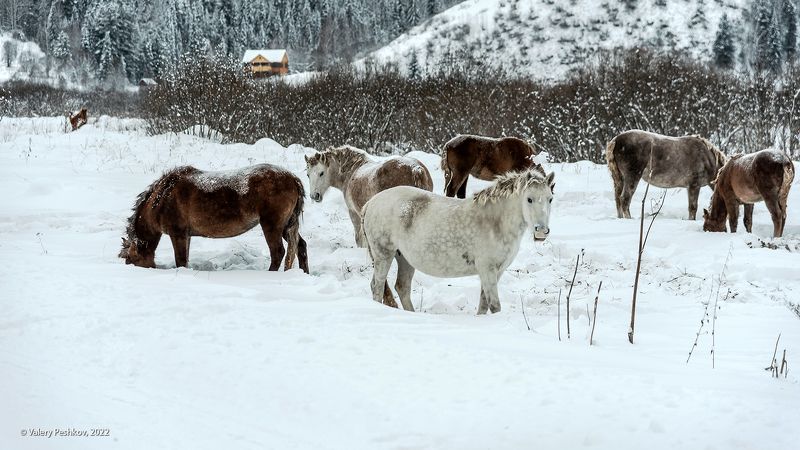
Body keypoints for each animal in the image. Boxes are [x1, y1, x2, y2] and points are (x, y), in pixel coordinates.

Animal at [119, 164, 309, 272]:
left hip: (272, 225)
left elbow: (180, 260)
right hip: (286, 226)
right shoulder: (186, 235)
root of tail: (293, 178)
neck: (163, 197)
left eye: (131, 259)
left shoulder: (178, 233)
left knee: (278, 252)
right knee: (300, 246)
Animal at [305, 145, 433, 248]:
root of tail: (415, 169)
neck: (351, 172)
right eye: (308, 175)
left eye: (321, 173)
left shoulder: (354, 214)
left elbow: (359, 239)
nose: (314, 196)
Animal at [362, 169, 555, 314]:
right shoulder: (487, 270)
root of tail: (371, 202)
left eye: (550, 198)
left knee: (402, 288)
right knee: (377, 286)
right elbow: (494, 306)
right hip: (383, 255)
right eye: (529, 199)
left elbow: (484, 304)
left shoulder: (496, 271)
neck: (495, 221)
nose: (541, 231)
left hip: (405, 259)